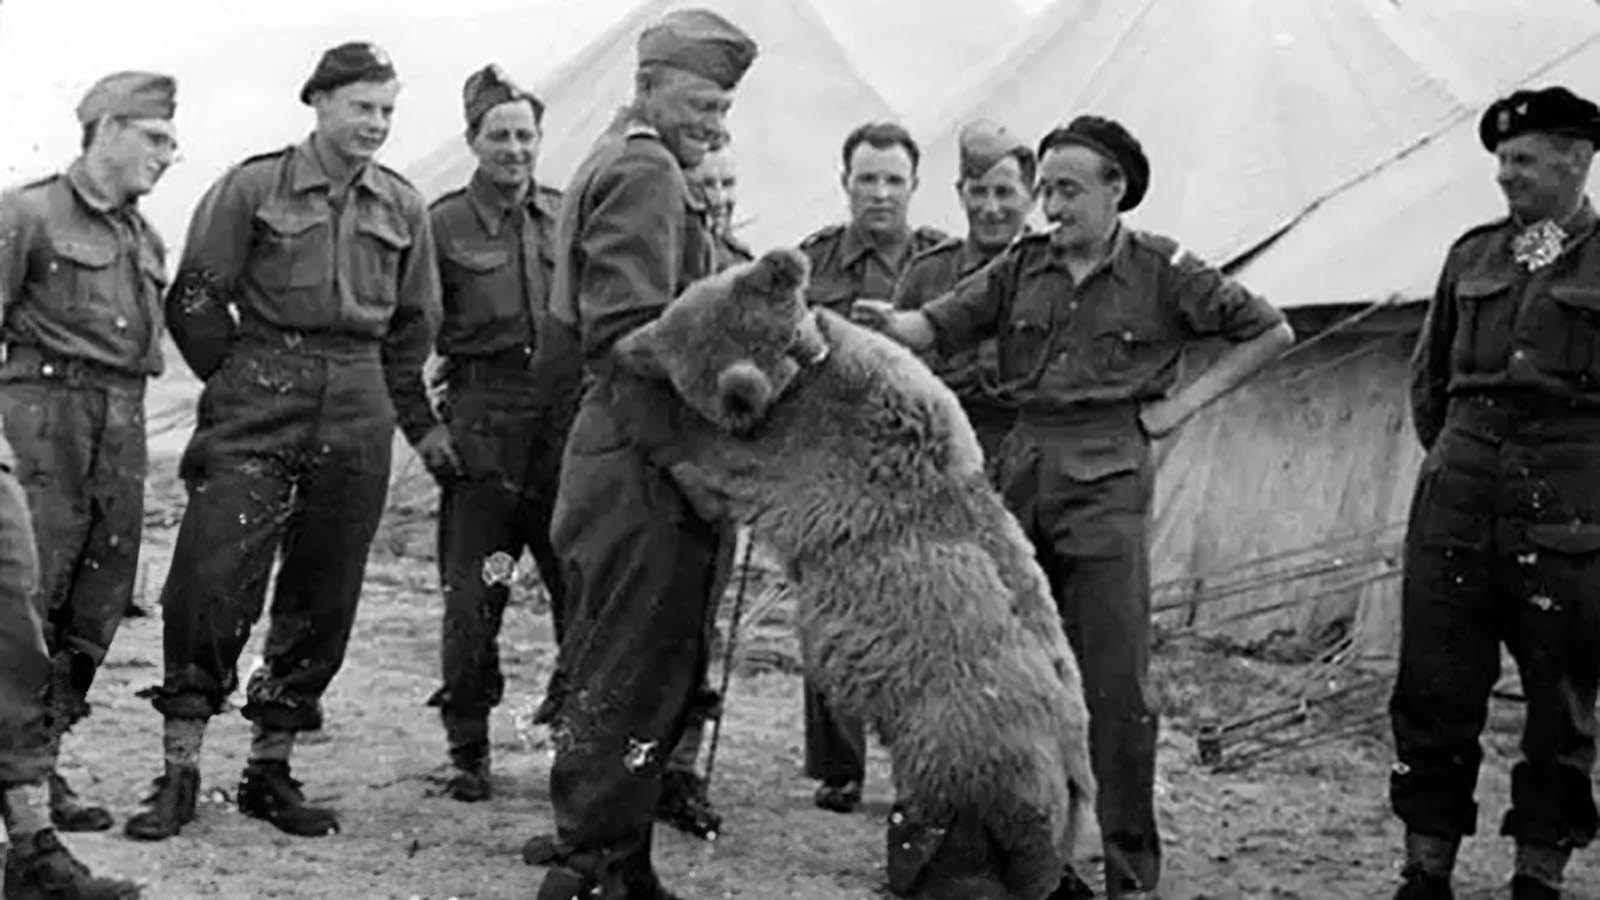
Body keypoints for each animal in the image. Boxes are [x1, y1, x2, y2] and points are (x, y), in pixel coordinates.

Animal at [611, 245, 1100, 896]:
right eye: (672, 309)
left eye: (663, 336)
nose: (620, 347)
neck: (806, 372)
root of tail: (1074, 794)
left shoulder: (800, 461)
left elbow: (710, 463)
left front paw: (643, 414)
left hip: (973, 753)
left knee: (952, 836)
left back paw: (919, 871)